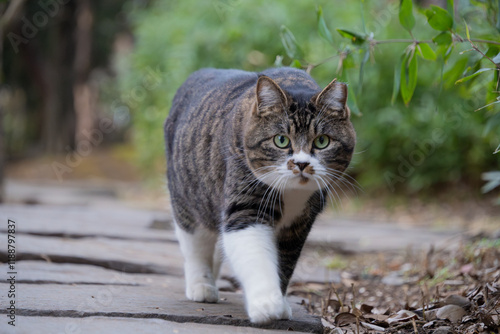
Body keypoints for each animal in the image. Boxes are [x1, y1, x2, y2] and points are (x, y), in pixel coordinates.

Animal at [164, 66, 356, 324]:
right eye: (281, 140)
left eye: (322, 141)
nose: (302, 164)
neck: (291, 194)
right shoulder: (245, 204)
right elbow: (254, 253)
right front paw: (267, 304)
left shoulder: (299, 225)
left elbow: (285, 262)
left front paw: (281, 302)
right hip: (187, 197)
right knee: (195, 245)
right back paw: (202, 286)